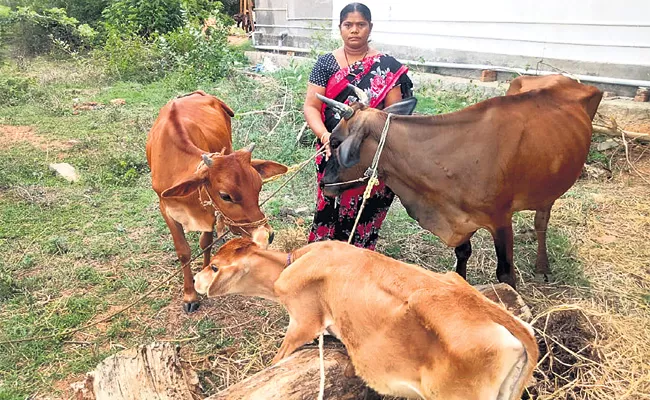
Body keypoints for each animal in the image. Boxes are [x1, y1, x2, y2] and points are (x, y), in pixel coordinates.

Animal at [147, 90, 288, 312]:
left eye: (259, 187)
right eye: (225, 196)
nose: (268, 235)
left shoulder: (209, 210)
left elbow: (205, 243)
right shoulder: (166, 208)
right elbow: (183, 251)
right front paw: (190, 295)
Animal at [316, 75, 600, 288]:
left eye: (336, 141)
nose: (324, 184)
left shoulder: (501, 219)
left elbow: (505, 275)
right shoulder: (459, 217)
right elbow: (462, 254)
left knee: (542, 221)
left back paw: (542, 266)